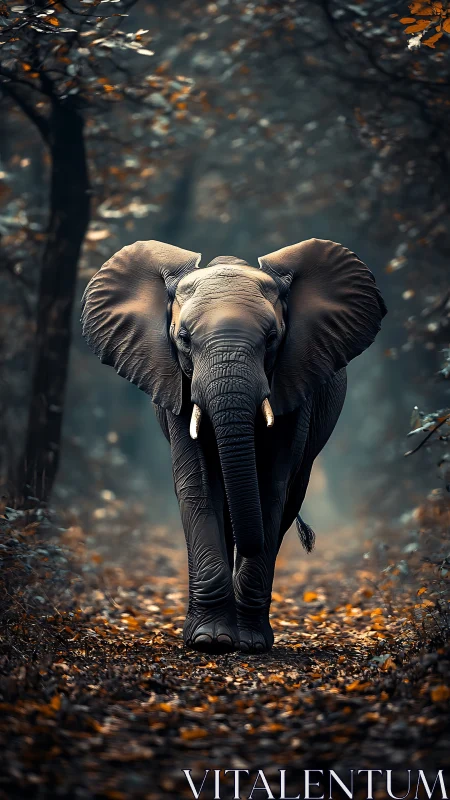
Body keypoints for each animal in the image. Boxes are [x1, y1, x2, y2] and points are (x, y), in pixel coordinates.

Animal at [81, 238, 386, 655]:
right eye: (184, 339)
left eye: (272, 338)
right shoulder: (178, 385)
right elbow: (198, 483)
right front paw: (210, 641)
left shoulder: (295, 380)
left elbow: (271, 486)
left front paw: (251, 642)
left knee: (286, 497)